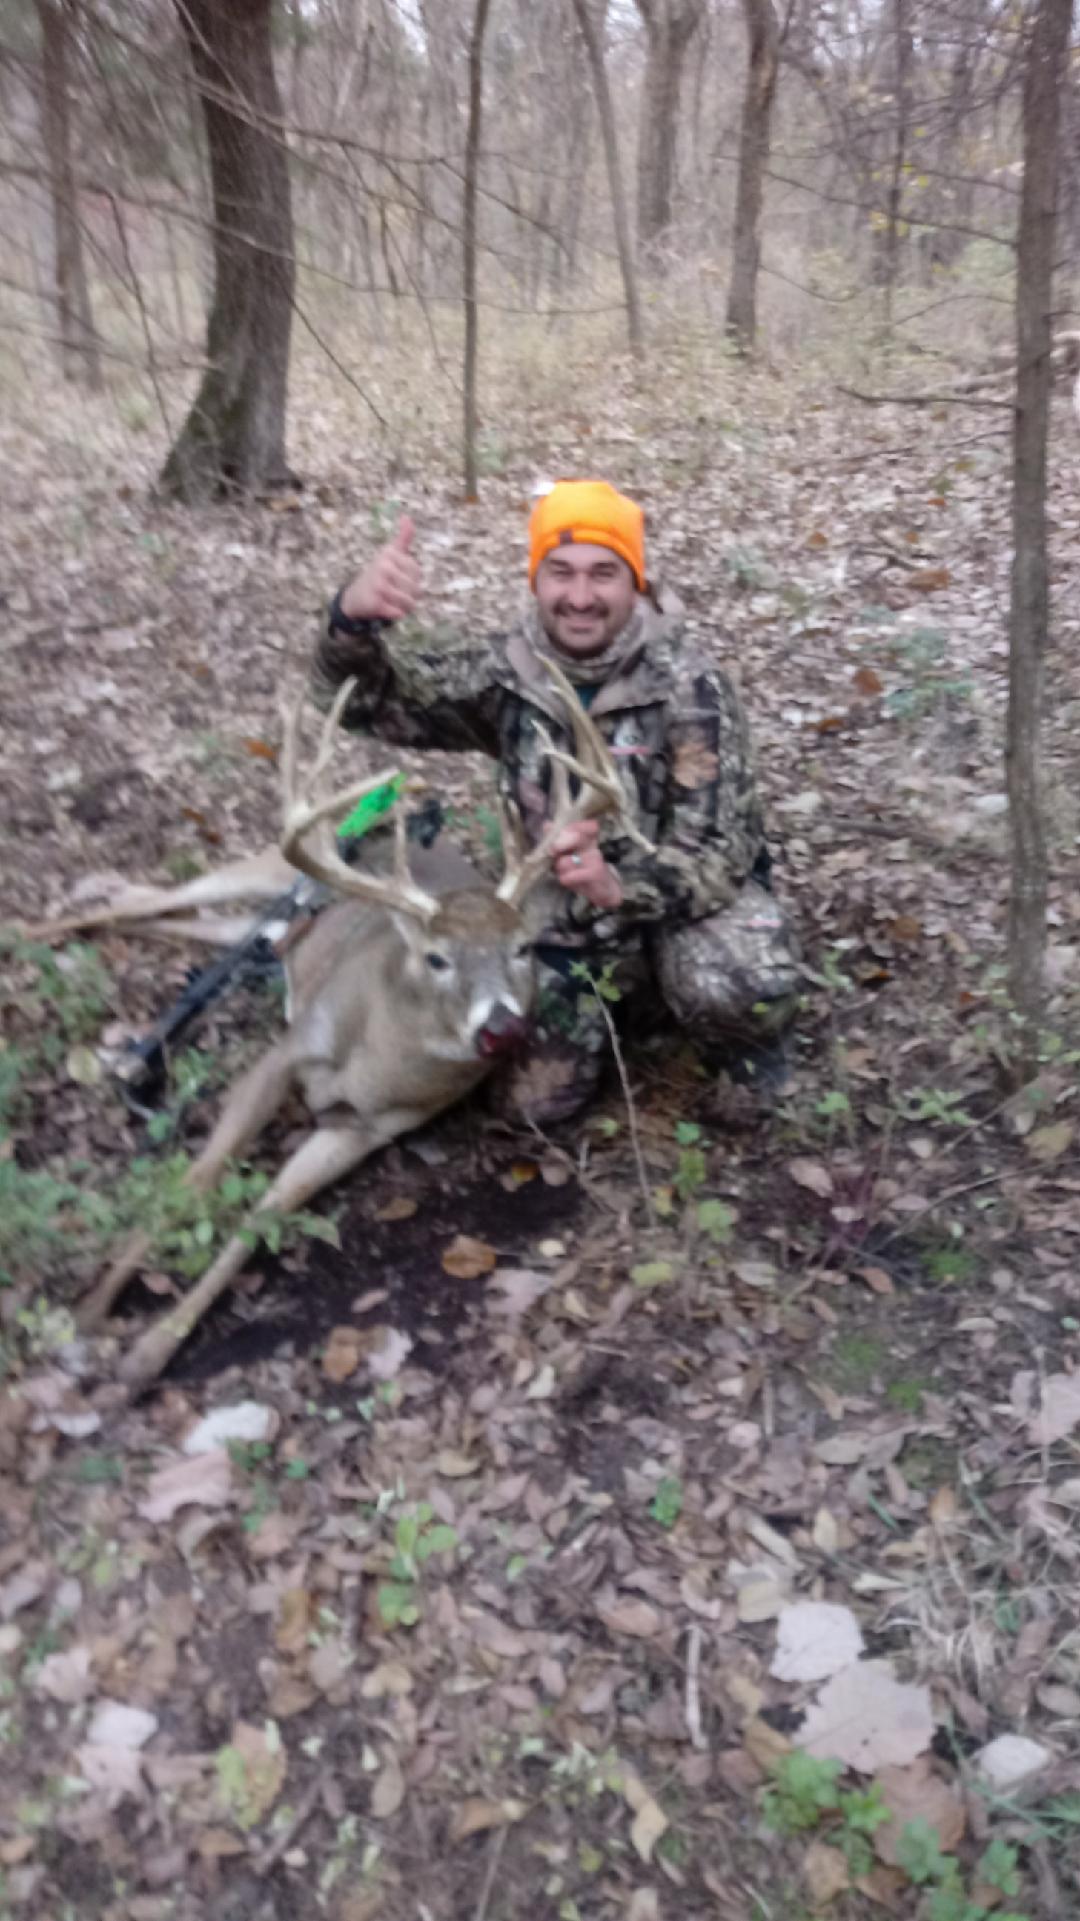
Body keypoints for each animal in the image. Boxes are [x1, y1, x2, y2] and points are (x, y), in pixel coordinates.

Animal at [47, 661, 651, 1394]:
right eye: (436, 956)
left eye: (523, 949)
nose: (501, 1028)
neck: (377, 1052)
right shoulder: (287, 1049)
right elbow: (198, 1179)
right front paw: (92, 1311)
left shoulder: (361, 1129)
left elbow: (262, 1217)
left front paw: (146, 1355)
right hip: (264, 864)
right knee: (142, 900)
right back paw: (41, 925)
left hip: (268, 928)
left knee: (175, 918)